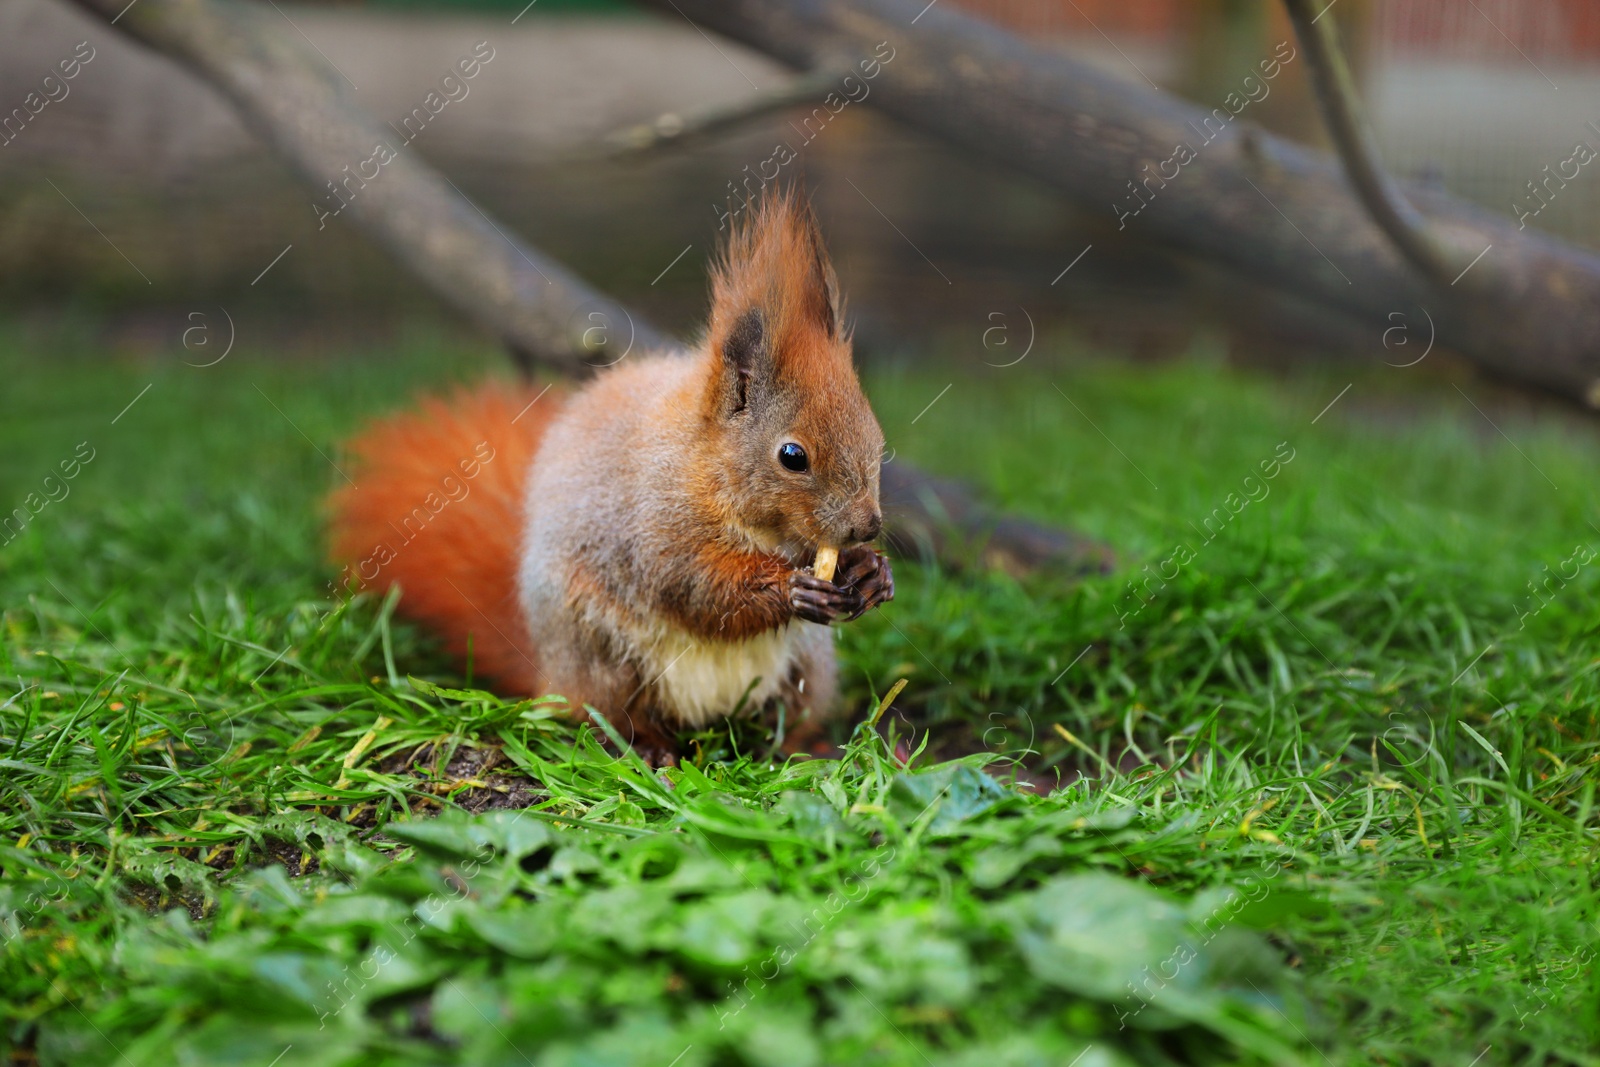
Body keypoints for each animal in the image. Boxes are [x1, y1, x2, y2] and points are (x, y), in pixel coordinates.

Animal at [329, 187, 896, 764]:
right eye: (792, 455)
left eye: (875, 435)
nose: (866, 526)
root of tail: (550, 675)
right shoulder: (654, 529)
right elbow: (697, 589)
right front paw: (789, 588)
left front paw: (872, 573)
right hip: (599, 651)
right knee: (609, 715)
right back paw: (648, 748)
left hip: (808, 667)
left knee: (789, 715)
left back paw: (805, 749)